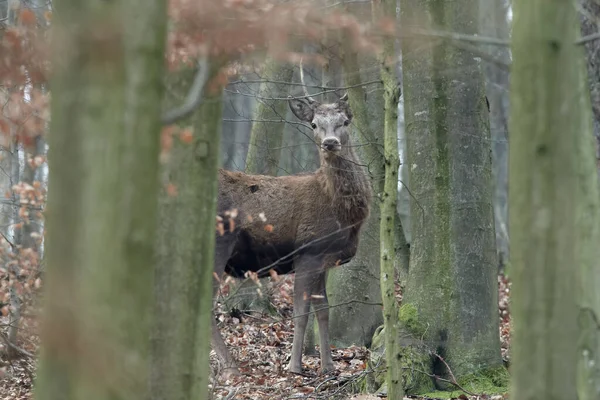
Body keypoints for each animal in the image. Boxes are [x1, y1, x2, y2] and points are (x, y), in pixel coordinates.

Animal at [211, 86, 370, 376]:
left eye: (344, 122)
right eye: (314, 124)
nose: (330, 142)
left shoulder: (323, 258)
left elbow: (323, 310)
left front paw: (328, 366)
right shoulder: (308, 251)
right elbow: (301, 311)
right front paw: (295, 366)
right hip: (218, 245)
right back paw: (232, 367)